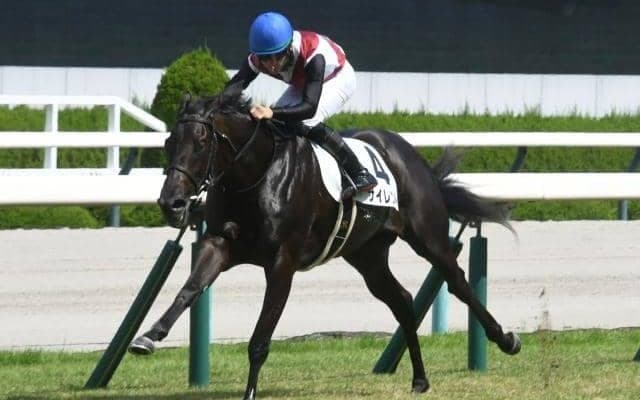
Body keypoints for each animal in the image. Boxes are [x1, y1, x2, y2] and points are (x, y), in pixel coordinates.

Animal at [129, 92, 521, 400]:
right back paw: (420, 379)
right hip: (367, 255)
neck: (255, 174)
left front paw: (250, 392)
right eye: (169, 143)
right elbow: (190, 287)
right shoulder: (220, 244)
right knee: (402, 300)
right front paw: (149, 335)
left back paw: (505, 339)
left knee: (457, 281)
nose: (171, 203)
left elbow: (260, 340)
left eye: (201, 141)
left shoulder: (282, 263)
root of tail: (407, 152)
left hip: (428, 236)